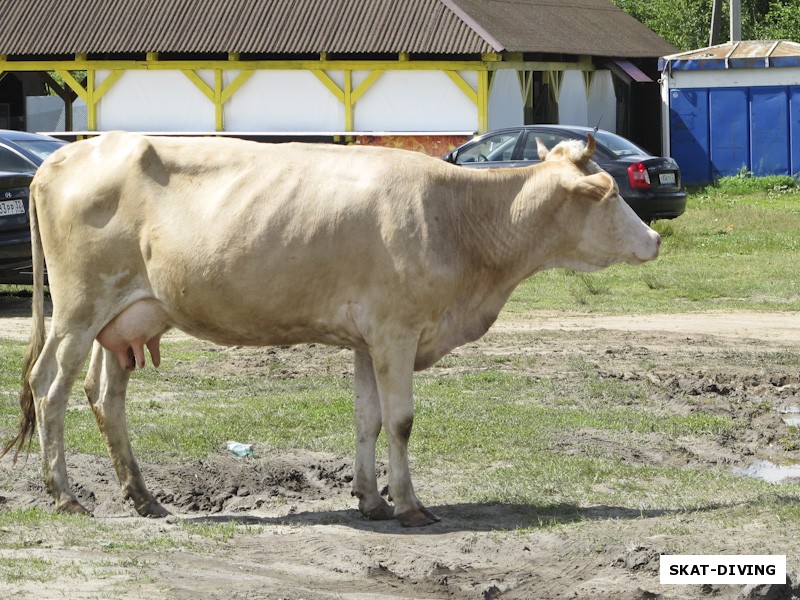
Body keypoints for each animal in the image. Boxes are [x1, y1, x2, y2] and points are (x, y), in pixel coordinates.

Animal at [0, 131, 660, 524]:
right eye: (606, 192)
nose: (654, 239)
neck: (457, 218)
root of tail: (60, 156)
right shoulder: (396, 330)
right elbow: (401, 420)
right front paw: (410, 505)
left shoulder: (368, 339)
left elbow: (368, 418)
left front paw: (370, 499)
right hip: (79, 307)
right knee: (49, 386)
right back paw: (65, 493)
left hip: (125, 317)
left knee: (103, 395)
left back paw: (143, 497)